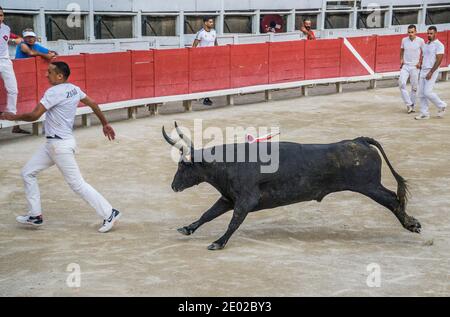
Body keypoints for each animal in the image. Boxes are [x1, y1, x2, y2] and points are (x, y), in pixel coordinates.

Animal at [163, 123, 422, 249]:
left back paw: (412, 224)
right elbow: (207, 214)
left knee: (392, 199)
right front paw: (187, 228)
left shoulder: (245, 201)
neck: (228, 163)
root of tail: (359, 140)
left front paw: (218, 243)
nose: (174, 186)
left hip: (369, 186)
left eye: (184, 166)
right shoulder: (228, 198)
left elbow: (233, 221)